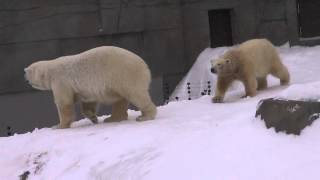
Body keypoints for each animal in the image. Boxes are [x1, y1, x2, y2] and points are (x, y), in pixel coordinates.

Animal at [24, 45, 157, 129]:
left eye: (28, 71)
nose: (24, 73)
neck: (50, 70)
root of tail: (146, 67)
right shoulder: (85, 89)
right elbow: (88, 102)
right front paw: (93, 118)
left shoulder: (60, 81)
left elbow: (64, 103)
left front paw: (58, 126)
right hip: (117, 81)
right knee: (120, 99)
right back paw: (112, 118)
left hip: (125, 74)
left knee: (137, 95)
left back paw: (144, 116)